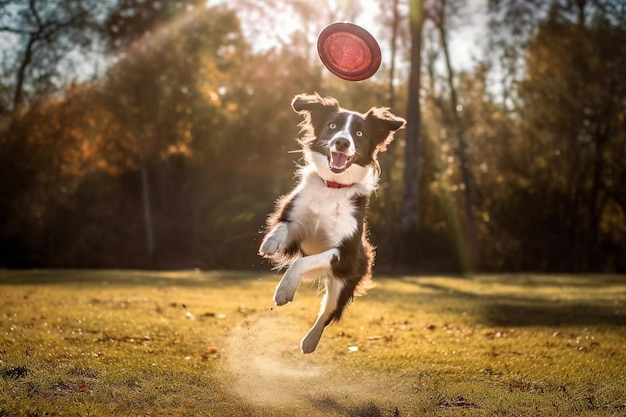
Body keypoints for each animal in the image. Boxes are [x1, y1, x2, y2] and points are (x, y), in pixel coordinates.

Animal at [258, 92, 404, 352]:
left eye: (359, 134)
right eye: (332, 126)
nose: (342, 142)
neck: (333, 188)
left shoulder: (345, 254)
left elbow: (301, 263)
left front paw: (284, 289)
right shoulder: (296, 226)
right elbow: (284, 224)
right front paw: (271, 241)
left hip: (344, 281)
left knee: (327, 313)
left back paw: (310, 341)